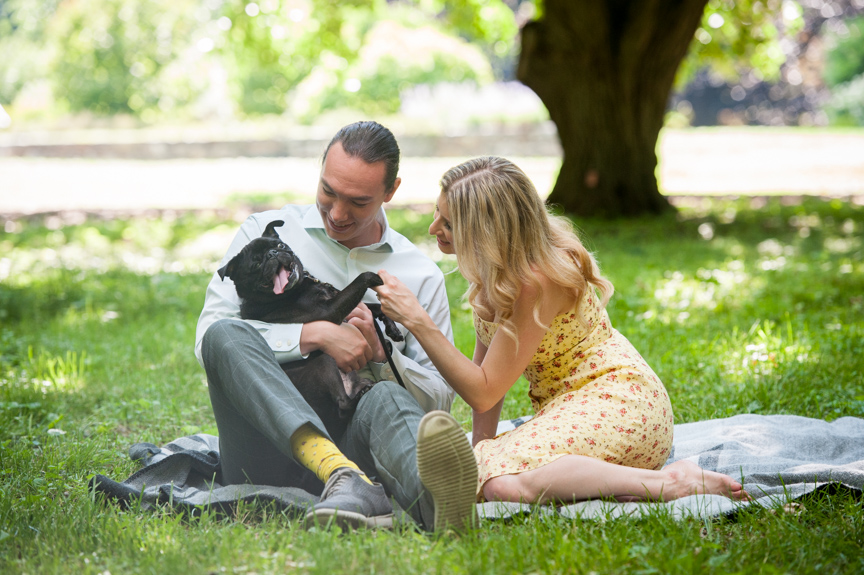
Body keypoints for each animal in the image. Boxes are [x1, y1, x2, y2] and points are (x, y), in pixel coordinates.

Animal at [218, 220, 404, 440]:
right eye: (255, 265)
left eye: (280, 246)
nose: (272, 254)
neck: (299, 288)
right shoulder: (329, 311)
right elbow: (361, 280)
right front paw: (375, 278)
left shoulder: (343, 302)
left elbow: (374, 307)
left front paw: (392, 330)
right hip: (325, 362)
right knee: (343, 404)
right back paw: (362, 393)